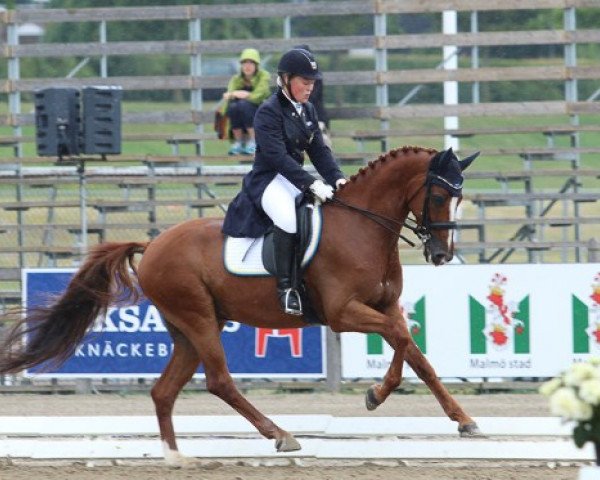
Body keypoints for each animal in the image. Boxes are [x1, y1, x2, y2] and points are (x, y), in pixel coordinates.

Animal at [0, 146, 480, 464]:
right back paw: (280, 435)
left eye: (459, 197)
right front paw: (375, 395)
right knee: (219, 382)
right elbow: (400, 339)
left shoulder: (388, 306)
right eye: (440, 196)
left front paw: (463, 420)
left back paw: (175, 457)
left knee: (164, 391)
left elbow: (416, 354)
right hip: (197, 318)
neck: (363, 227)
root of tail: (153, 244)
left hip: (188, 329)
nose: (442, 254)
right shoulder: (344, 314)